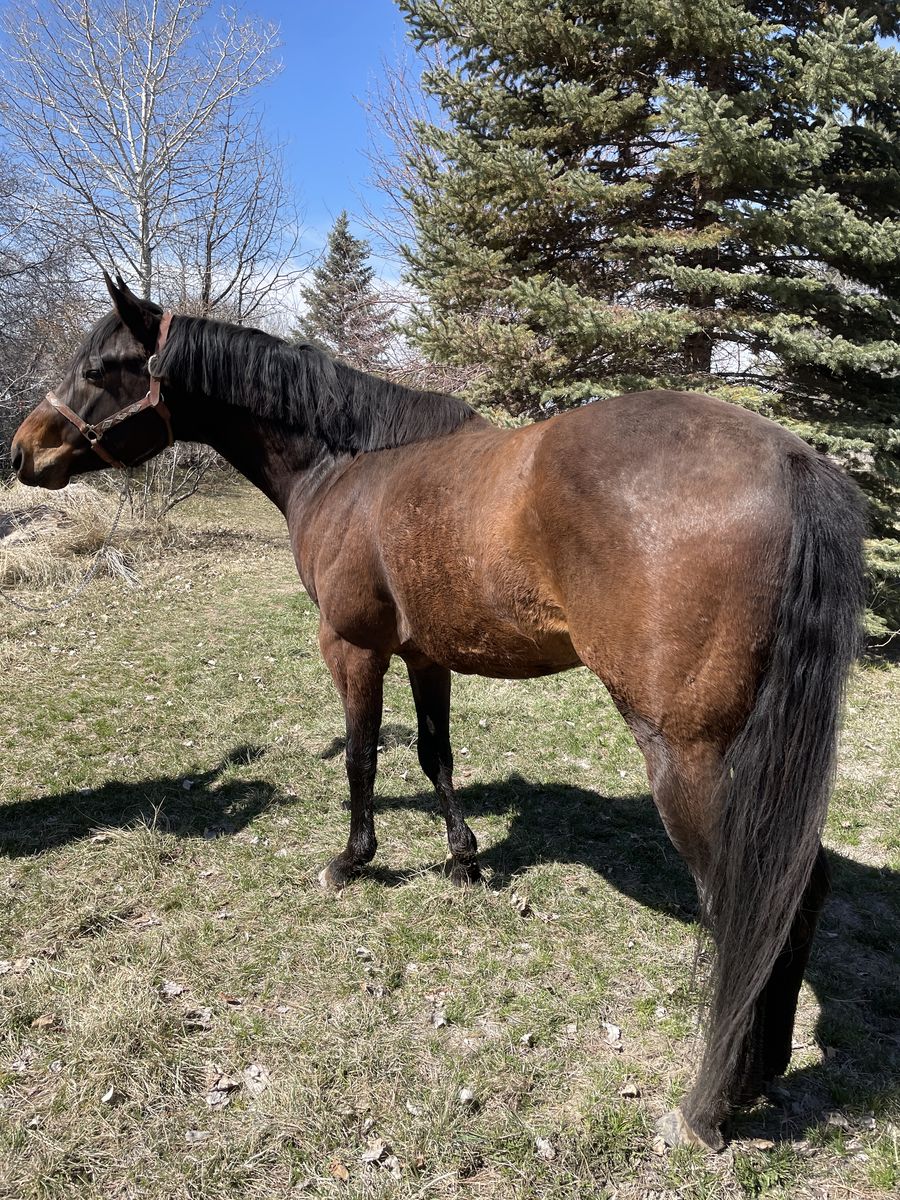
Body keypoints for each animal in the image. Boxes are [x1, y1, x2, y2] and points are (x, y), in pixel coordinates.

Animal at [11, 274, 866, 1152]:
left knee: (748, 902)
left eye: (103, 367)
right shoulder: (426, 655)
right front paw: (462, 858)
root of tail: (793, 460)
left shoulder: (352, 647)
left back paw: (708, 1105)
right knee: (796, 891)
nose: (23, 451)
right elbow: (434, 754)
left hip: (688, 756)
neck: (348, 467)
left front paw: (352, 860)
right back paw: (761, 1071)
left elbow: (363, 756)